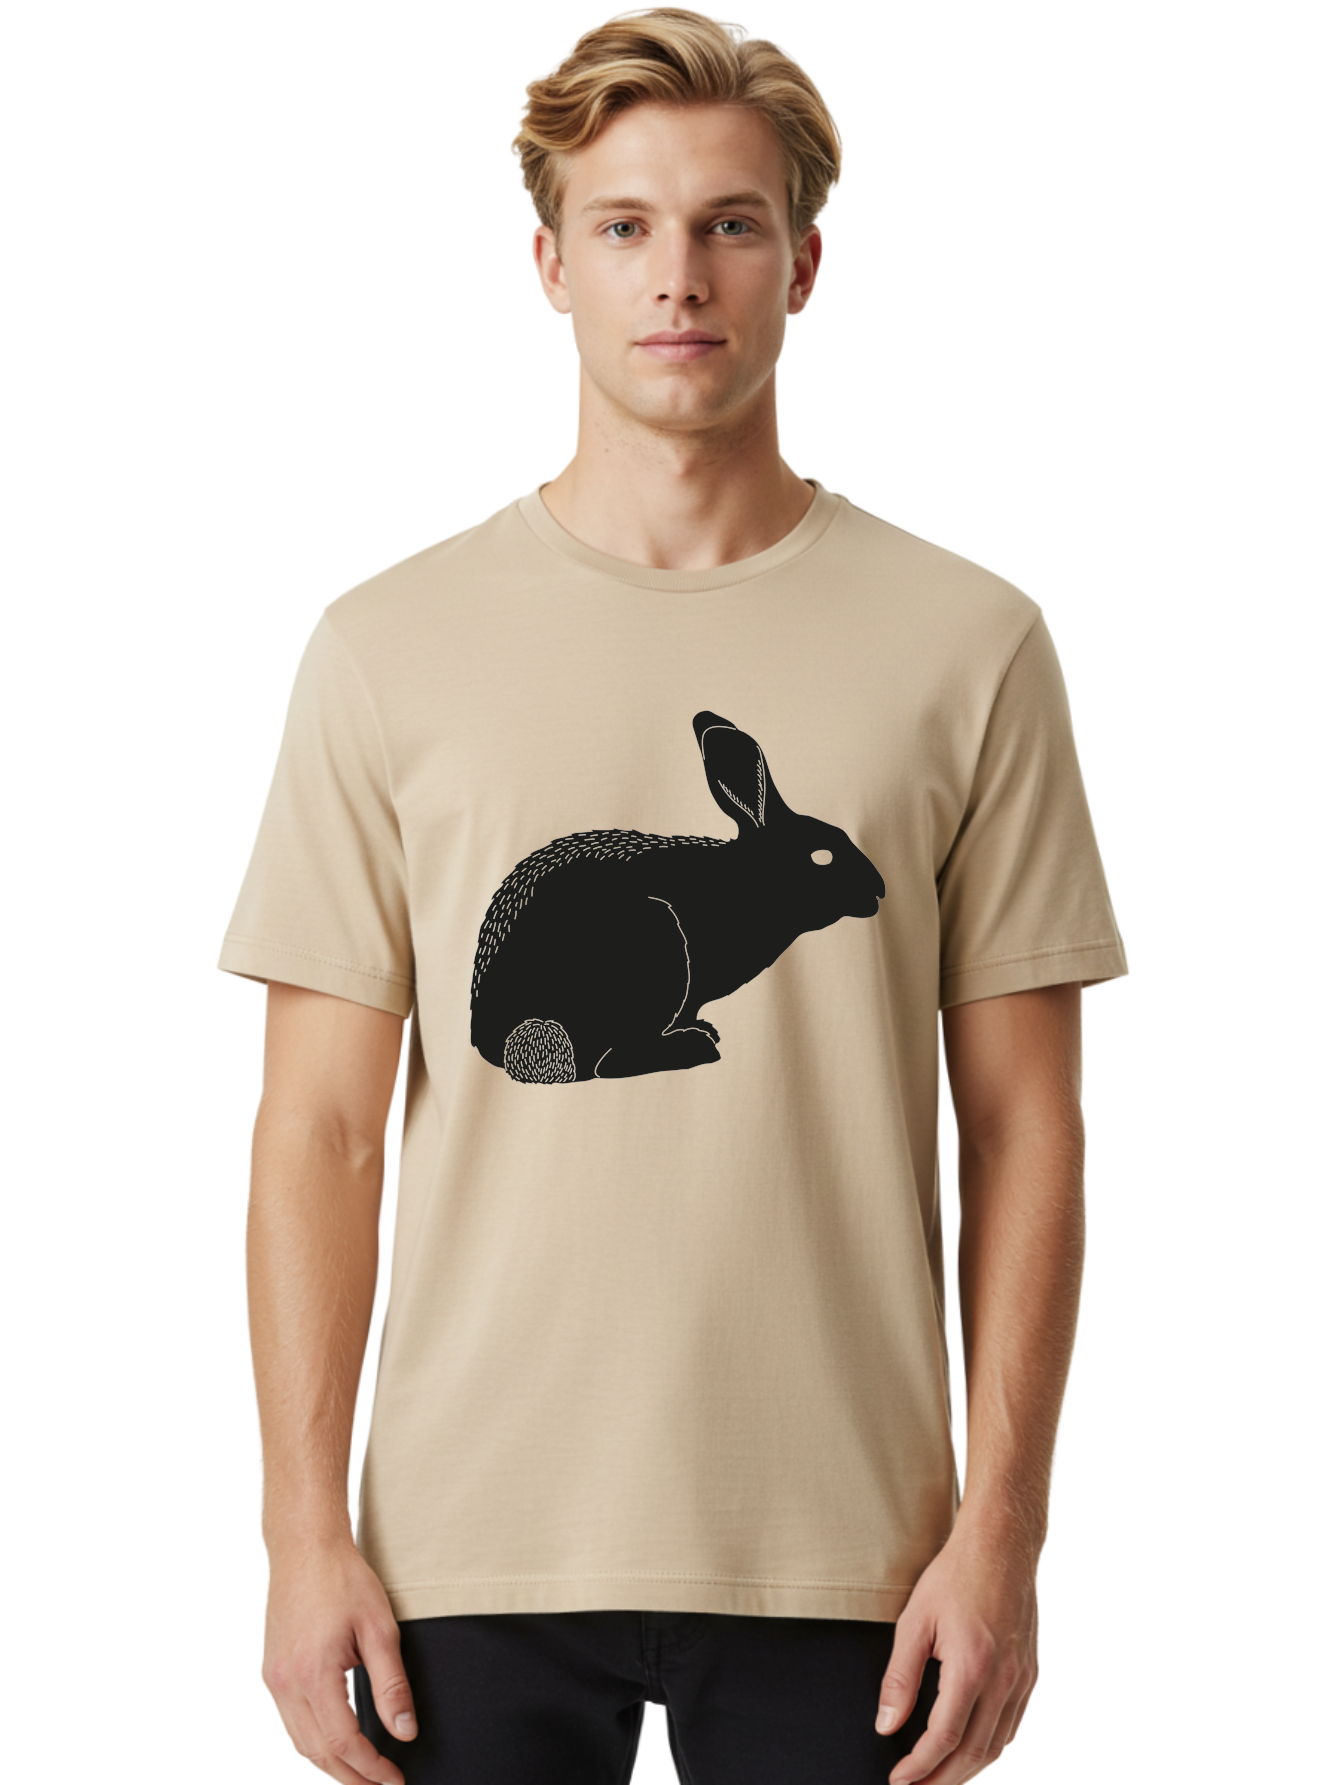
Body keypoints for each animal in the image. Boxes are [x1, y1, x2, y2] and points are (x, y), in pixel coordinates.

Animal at [469, 709, 886, 1082]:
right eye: (822, 856)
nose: (880, 889)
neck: (748, 881)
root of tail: (498, 1039)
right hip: (649, 941)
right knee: (606, 1063)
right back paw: (693, 1049)